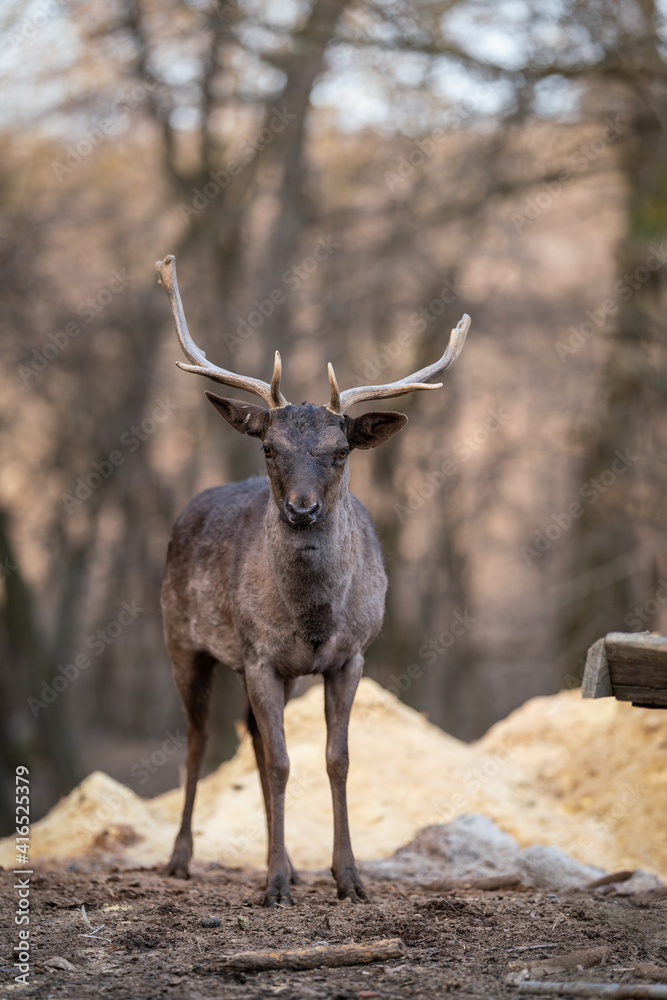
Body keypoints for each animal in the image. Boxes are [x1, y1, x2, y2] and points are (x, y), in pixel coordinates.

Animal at [155, 254, 470, 907]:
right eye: (270, 448)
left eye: (340, 450)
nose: (302, 509)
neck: (313, 617)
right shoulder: (258, 654)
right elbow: (281, 762)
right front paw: (275, 884)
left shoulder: (349, 655)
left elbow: (336, 759)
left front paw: (347, 877)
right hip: (180, 639)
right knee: (198, 739)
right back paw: (180, 859)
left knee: (248, 733)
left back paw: (292, 865)